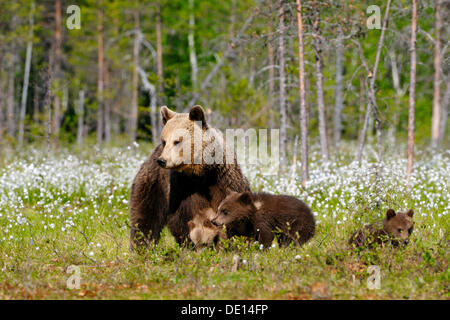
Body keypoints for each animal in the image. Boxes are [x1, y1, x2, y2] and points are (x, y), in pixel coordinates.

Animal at [129, 105, 250, 248]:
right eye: (164, 141)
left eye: (177, 141)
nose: (162, 160)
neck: (202, 174)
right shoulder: (181, 187)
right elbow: (181, 218)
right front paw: (190, 243)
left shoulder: (223, 180)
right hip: (153, 183)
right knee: (145, 216)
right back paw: (142, 246)